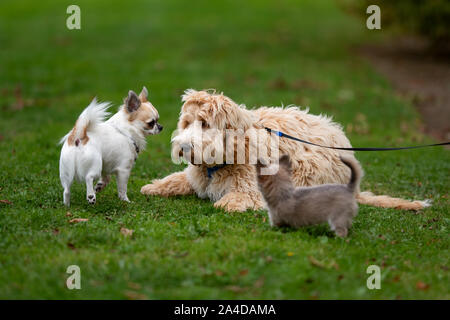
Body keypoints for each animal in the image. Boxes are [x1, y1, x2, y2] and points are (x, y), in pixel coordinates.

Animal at [141, 89, 428, 211]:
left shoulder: (252, 188)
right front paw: (154, 186)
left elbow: (239, 197)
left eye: (205, 124)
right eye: (187, 123)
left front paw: (227, 203)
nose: (183, 147)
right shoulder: (195, 176)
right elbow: (178, 179)